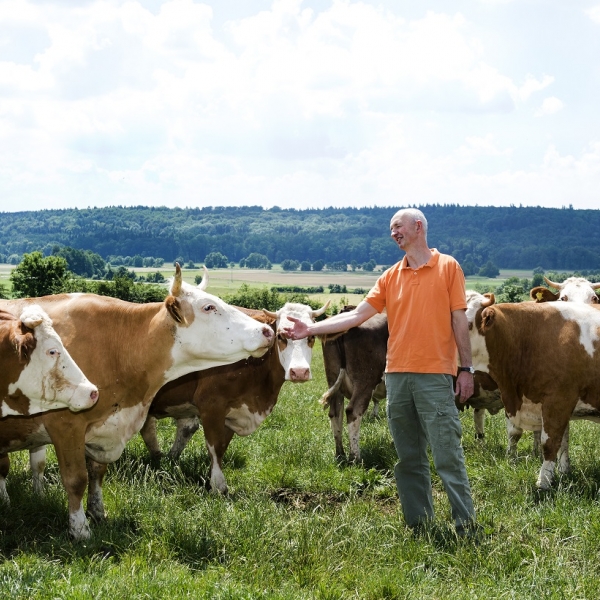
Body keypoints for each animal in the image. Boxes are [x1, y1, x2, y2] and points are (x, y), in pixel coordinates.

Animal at [0, 268, 274, 540]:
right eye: (208, 307)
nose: (267, 331)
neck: (119, 348)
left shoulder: (104, 430)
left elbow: (97, 474)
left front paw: (97, 512)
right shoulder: (66, 425)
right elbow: (76, 479)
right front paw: (80, 529)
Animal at [141, 300, 328, 492]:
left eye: (311, 337)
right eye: (281, 337)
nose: (299, 372)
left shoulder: (232, 412)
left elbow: (222, 445)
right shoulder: (212, 404)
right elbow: (215, 445)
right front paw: (218, 485)